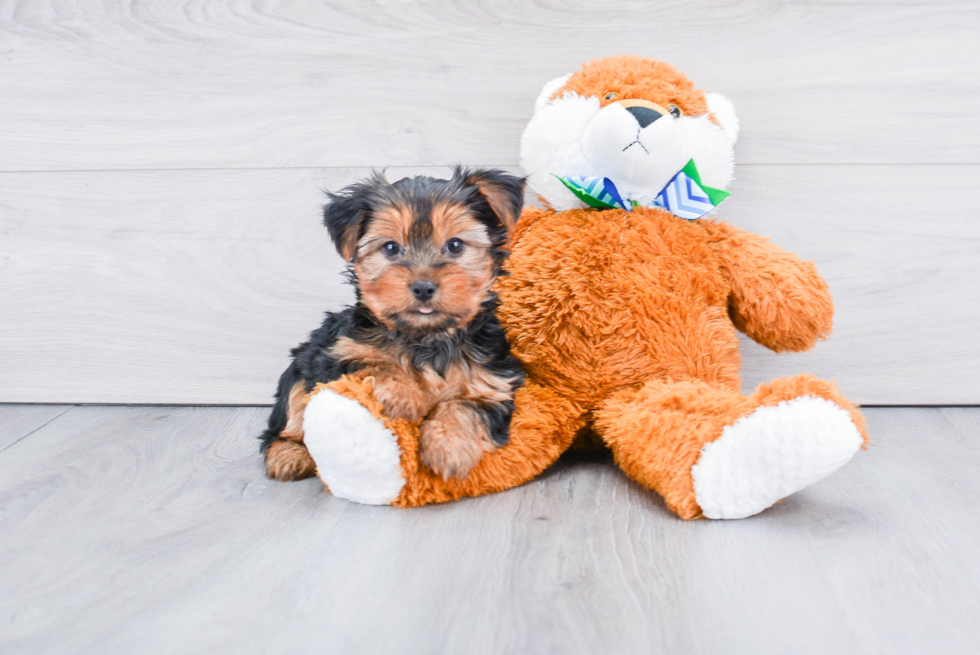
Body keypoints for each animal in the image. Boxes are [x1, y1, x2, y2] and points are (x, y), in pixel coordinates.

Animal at [256, 168, 524, 482]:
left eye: (455, 245)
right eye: (391, 247)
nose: (423, 287)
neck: (426, 337)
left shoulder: (492, 384)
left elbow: (465, 407)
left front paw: (447, 447)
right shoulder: (337, 354)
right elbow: (373, 363)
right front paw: (404, 396)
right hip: (301, 367)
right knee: (287, 420)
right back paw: (289, 455)